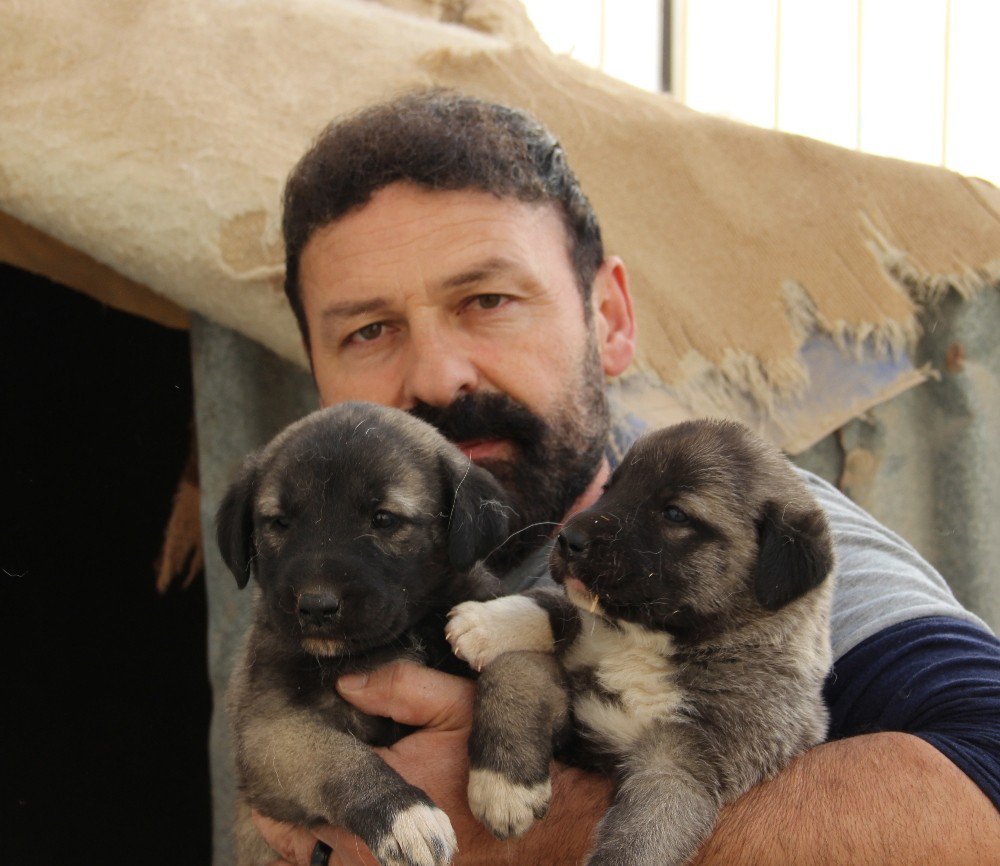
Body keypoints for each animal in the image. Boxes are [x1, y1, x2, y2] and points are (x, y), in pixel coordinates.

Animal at [222, 402, 512, 864]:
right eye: (280, 522)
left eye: (383, 519)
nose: (316, 606)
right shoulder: (266, 727)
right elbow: (336, 757)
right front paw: (405, 816)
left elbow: (516, 665)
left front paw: (504, 782)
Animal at [450, 418, 832, 864]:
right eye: (609, 488)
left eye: (674, 513)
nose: (568, 538)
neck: (644, 647)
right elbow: (525, 656)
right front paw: (486, 625)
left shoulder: (680, 766)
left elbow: (640, 840)